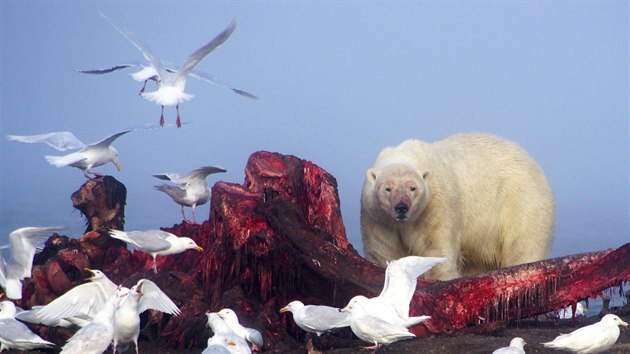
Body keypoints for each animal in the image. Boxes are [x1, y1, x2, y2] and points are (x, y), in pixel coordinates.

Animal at [362, 131, 556, 280]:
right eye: (388, 188)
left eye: (413, 188)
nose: (401, 207)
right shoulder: (377, 217)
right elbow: (384, 250)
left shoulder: (436, 206)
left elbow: (435, 246)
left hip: (520, 199)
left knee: (523, 243)